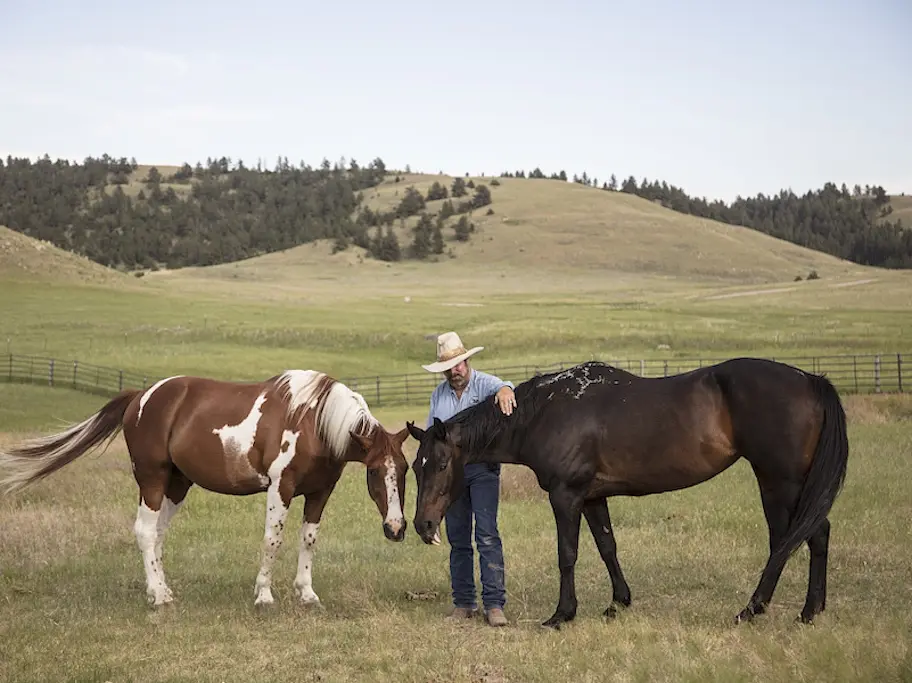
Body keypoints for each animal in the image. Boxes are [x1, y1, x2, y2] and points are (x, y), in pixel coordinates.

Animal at [0, 368, 410, 608]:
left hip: (177, 485)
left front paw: (307, 593)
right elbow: (272, 540)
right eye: (375, 472)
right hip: (152, 479)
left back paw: (161, 589)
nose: (396, 528)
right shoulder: (281, 487)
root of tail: (140, 397)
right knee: (145, 531)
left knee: (157, 534)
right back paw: (159, 598)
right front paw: (264, 595)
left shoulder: (320, 491)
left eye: (405, 469)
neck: (314, 421)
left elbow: (308, 540)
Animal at [406, 358, 848, 632]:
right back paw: (810, 611)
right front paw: (618, 602)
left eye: (440, 464)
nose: (422, 524)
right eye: (415, 466)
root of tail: (810, 380)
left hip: (780, 483)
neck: (544, 412)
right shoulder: (591, 497)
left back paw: (754, 609)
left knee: (794, 539)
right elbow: (607, 546)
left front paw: (562, 615)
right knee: (812, 536)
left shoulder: (566, 496)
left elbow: (567, 555)